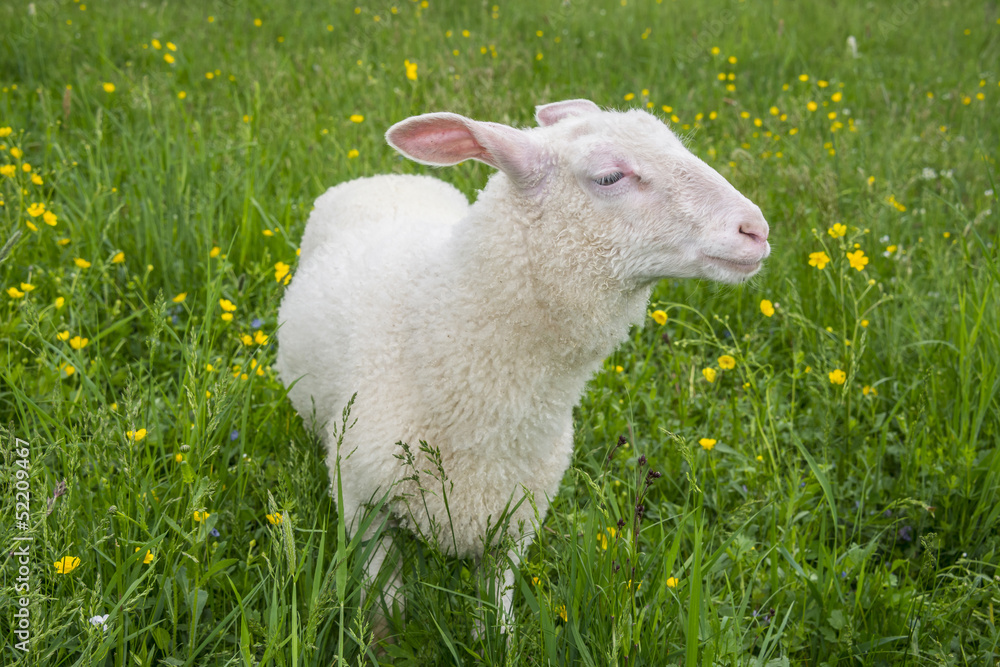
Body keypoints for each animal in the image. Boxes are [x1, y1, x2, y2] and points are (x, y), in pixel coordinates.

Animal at [275, 98, 770, 636]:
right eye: (609, 177)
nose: (756, 229)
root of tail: (385, 177)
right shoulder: (363, 505)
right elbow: (386, 610)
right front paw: (384, 642)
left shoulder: (517, 518)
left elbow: (497, 614)